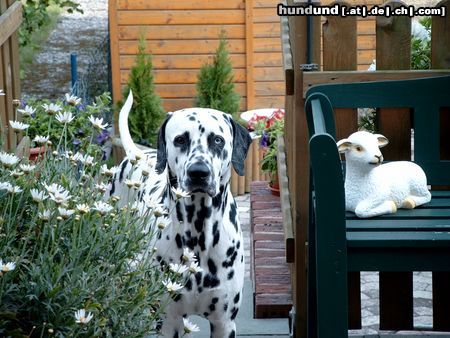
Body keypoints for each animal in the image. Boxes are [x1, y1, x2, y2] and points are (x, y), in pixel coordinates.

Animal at [107, 92, 251, 338]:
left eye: (217, 140)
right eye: (180, 140)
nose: (199, 173)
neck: (199, 232)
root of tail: (137, 154)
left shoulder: (224, 323)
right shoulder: (168, 321)